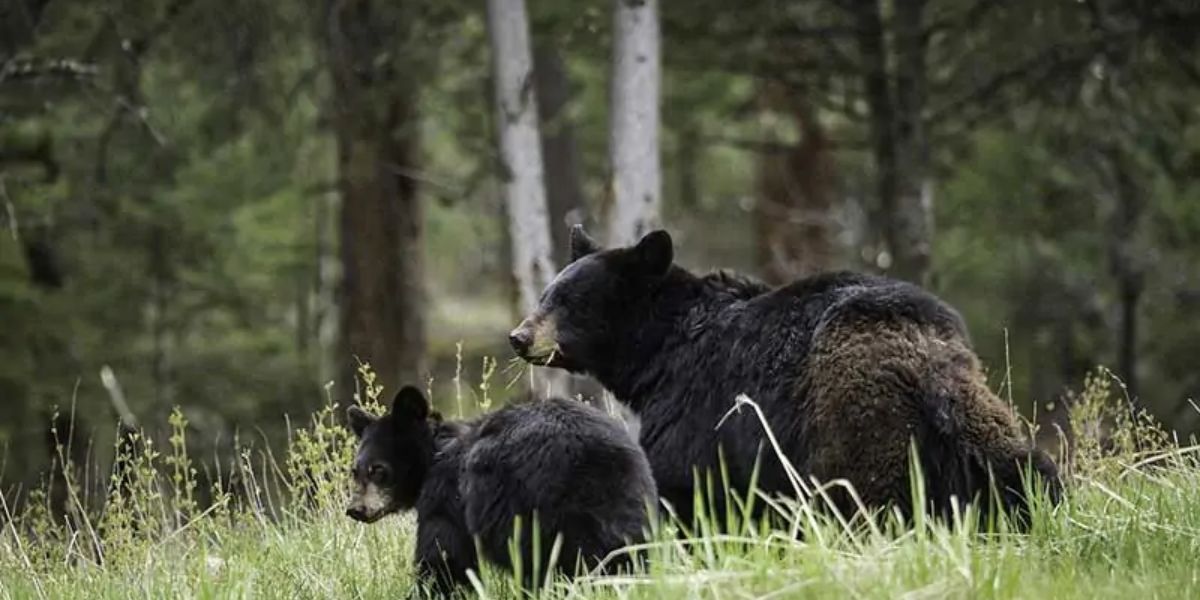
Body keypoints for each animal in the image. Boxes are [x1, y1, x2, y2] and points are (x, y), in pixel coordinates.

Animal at [343, 386, 657, 597]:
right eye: (355, 470)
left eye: (378, 469)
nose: (355, 509)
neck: (436, 453)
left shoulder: (447, 498)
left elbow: (444, 557)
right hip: (633, 502)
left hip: (535, 510)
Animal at [506, 226, 1060, 528]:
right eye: (546, 294)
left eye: (572, 302)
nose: (519, 336)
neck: (660, 351)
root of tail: (926, 361)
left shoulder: (698, 404)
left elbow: (682, 480)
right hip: (977, 418)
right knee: (1024, 470)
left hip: (855, 418)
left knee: (862, 496)